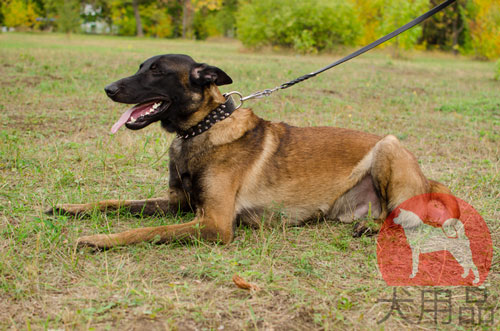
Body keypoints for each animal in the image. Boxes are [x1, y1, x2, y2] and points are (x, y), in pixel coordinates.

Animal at [45, 53, 458, 249]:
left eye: (157, 71)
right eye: (142, 66)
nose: (108, 89)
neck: (202, 128)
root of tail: (427, 179)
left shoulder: (213, 223)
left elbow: (148, 231)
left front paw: (98, 240)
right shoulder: (179, 204)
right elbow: (115, 203)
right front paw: (71, 208)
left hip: (389, 144)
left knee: (404, 219)